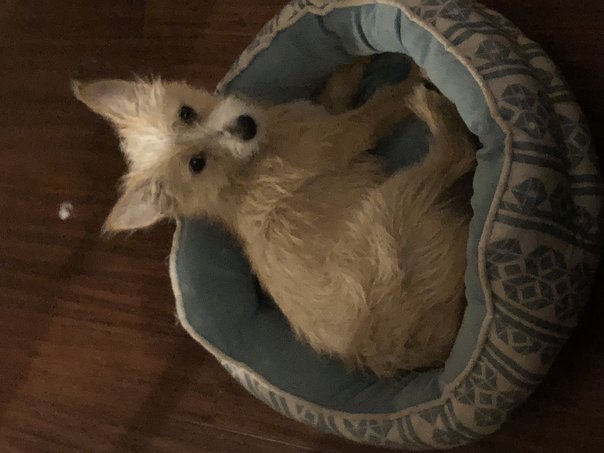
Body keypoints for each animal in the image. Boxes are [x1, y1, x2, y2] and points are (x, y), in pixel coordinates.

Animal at [73, 61, 475, 377]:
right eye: (197, 164)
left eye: (187, 113)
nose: (245, 125)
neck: (240, 167)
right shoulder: (343, 135)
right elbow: (380, 107)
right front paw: (411, 73)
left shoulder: (323, 113)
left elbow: (337, 86)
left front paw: (357, 58)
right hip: (392, 206)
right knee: (459, 153)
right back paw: (433, 108)